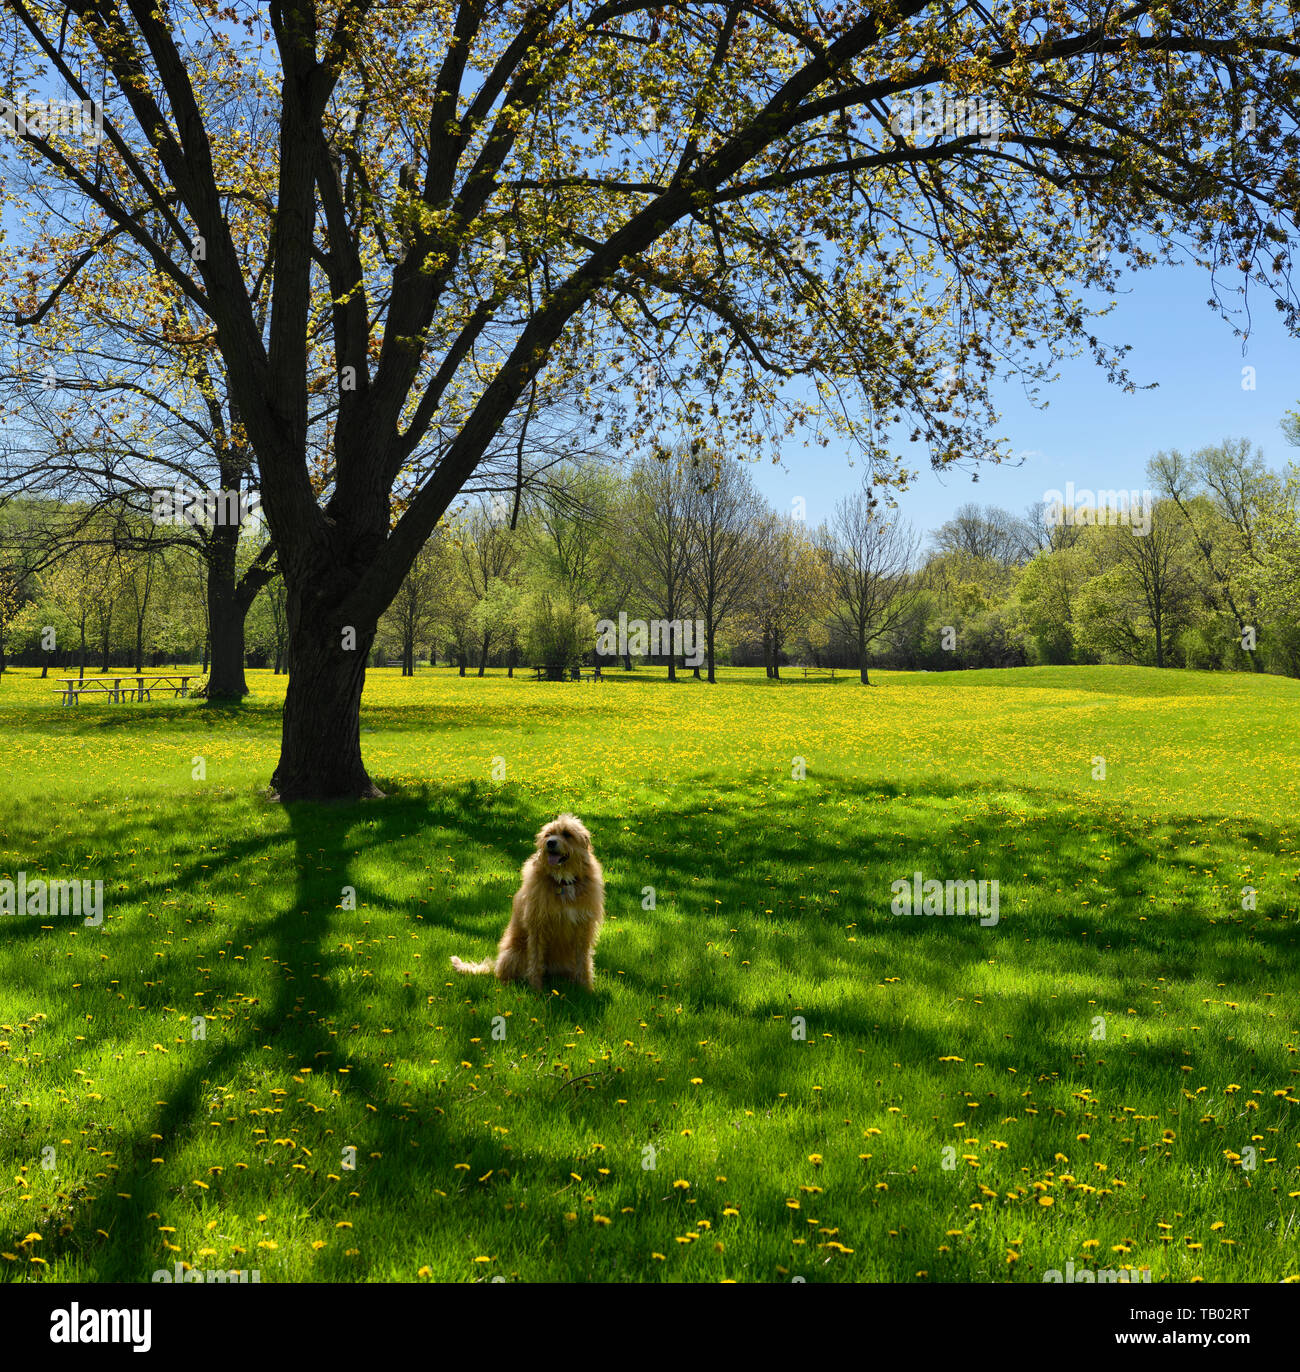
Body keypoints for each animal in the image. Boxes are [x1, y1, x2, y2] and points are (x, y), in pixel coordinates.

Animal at [449, 806, 606, 993]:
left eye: (567, 834)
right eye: (548, 834)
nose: (550, 843)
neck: (562, 882)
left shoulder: (583, 929)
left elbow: (584, 961)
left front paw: (586, 989)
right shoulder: (538, 926)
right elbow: (536, 961)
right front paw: (536, 989)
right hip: (514, 954)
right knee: (504, 975)